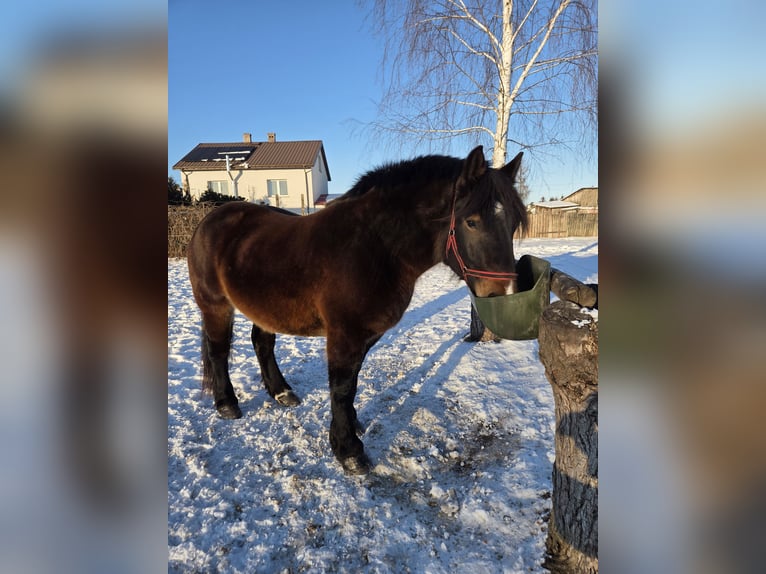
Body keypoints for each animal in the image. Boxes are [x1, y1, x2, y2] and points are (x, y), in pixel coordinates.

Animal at [186, 145, 527, 475]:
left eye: (513, 223)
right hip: (216, 306)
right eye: (471, 222)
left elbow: (353, 382)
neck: (374, 248)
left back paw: (281, 392)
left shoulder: (365, 335)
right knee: (218, 350)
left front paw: (352, 425)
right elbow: (341, 388)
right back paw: (227, 404)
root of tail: (208, 221)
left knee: (262, 343)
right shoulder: (344, 335)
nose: (499, 294)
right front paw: (348, 451)